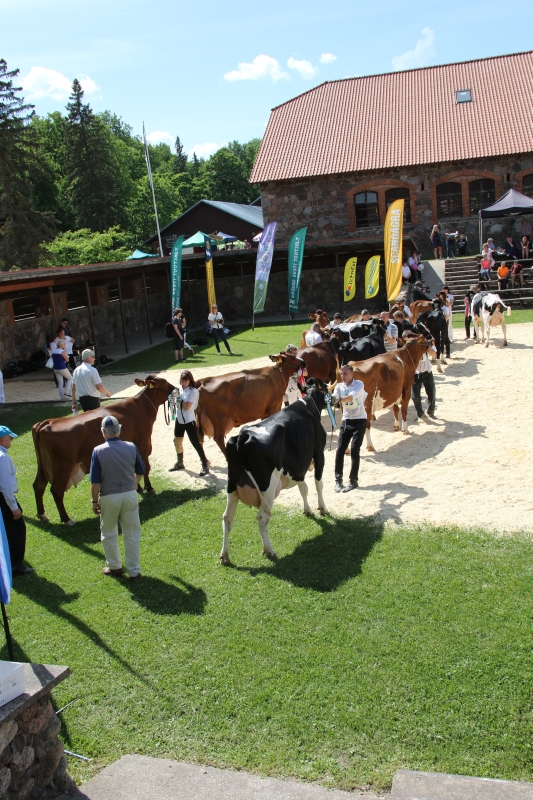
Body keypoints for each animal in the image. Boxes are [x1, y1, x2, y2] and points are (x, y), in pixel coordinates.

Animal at [32, 375, 175, 525]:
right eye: (165, 382)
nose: (176, 388)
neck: (141, 406)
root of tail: (46, 422)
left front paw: (138, 488)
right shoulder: (143, 442)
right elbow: (146, 467)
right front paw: (149, 488)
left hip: (43, 466)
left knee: (38, 486)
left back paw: (42, 514)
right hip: (63, 466)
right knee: (56, 490)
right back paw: (66, 519)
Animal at [220, 379, 329, 565]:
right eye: (328, 389)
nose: (336, 399)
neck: (309, 403)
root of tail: (243, 435)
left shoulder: (298, 465)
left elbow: (303, 488)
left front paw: (308, 510)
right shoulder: (319, 453)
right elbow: (318, 484)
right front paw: (322, 508)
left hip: (232, 486)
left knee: (227, 518)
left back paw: (225, 556)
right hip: (268, 488)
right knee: (262, 518)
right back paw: (269, 550)